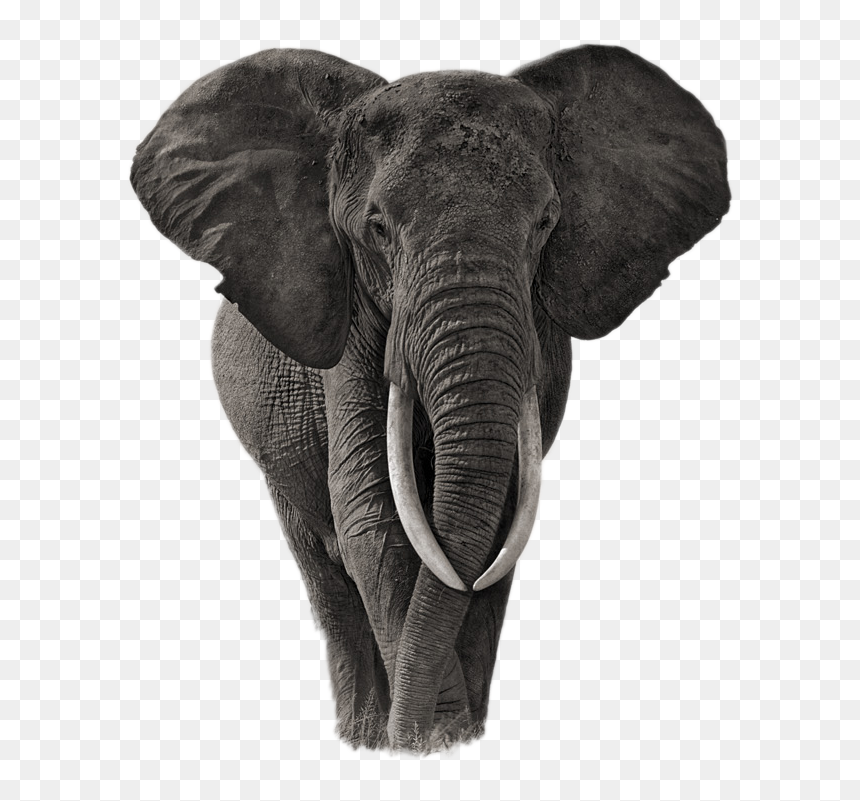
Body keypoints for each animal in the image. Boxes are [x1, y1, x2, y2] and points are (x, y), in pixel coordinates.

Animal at [130, 45, 729, 751]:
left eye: (547, 224)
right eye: (377, 228)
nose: (430, 732)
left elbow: (502, 524)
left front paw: (455, 741)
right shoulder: (352, 318)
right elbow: (372, 514)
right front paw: (427, 744)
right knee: (322, 566)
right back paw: (363, 738)